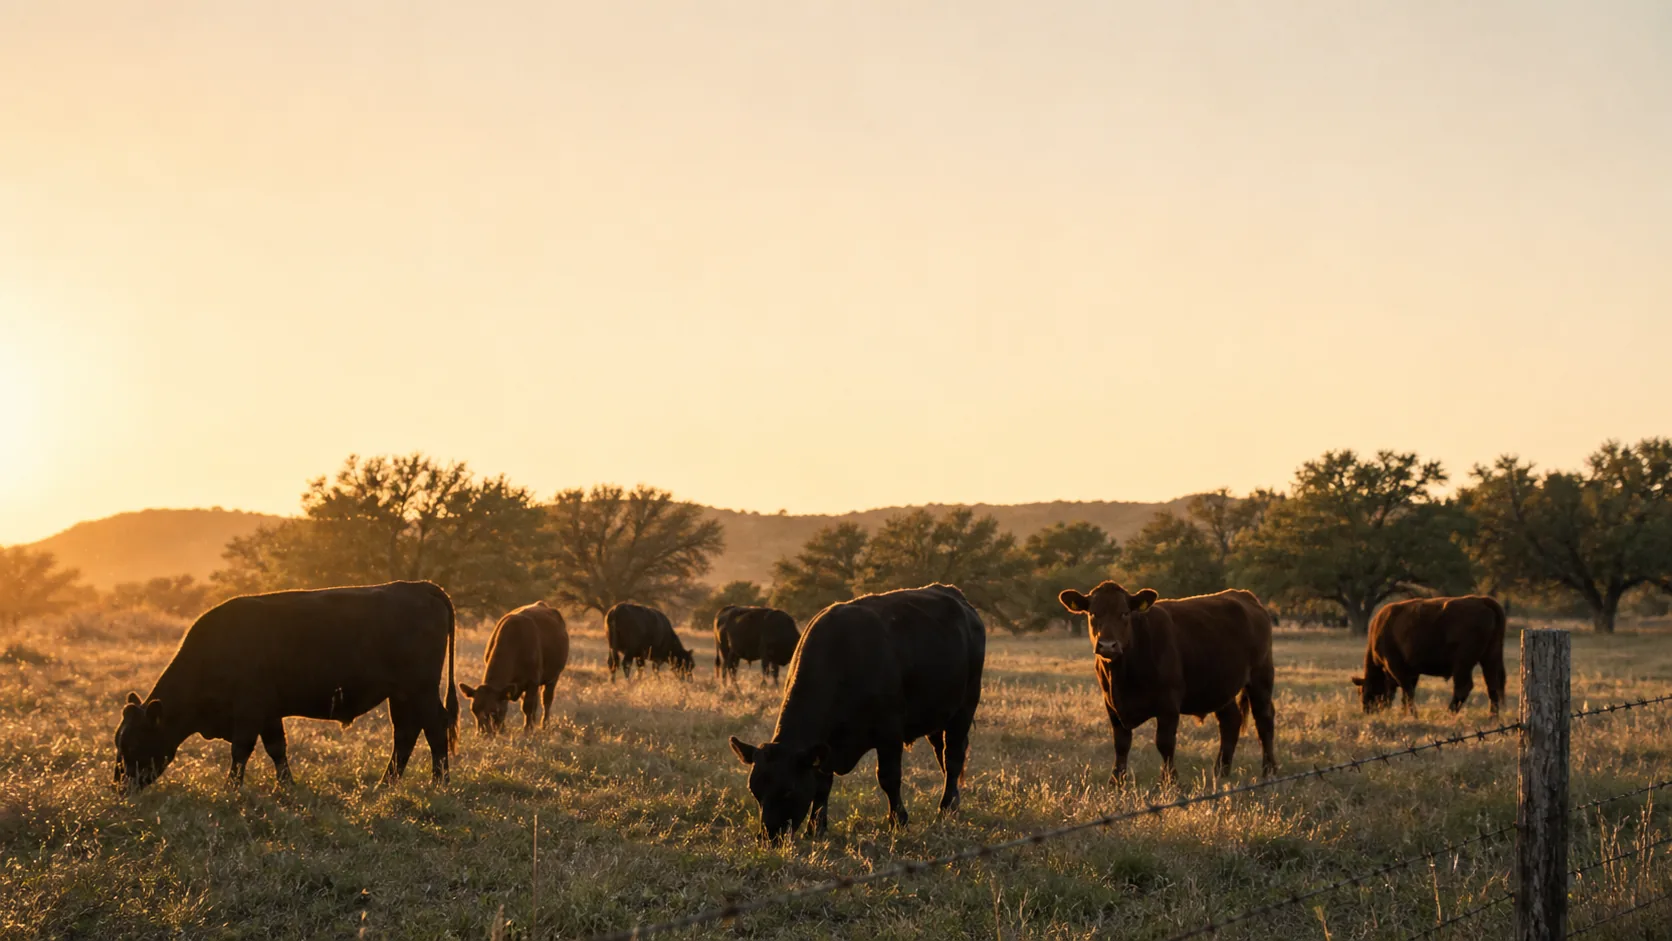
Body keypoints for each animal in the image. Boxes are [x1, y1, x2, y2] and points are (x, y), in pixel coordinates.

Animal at [113, 581, 458, 791]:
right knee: (406, 734)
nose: (119, 787)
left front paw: (230, 789)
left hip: (421, 690)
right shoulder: (269, 713)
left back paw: (439, 783)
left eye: (133, 744)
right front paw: (287, 786)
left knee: (434, 729)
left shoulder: (250, 710)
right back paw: (386, 784)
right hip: (401, 695)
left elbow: (241, 750)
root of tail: (418, 586)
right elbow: (277, 748)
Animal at [460, 601, 570, 735]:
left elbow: (527, 706)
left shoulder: (532, 681)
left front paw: (527, 730)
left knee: (546, 701)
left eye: (493, 711)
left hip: (553, 677)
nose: (482, 733)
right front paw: (503, 729)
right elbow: (507, 705)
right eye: (473, 710)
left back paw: (544, 725)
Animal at [728, 583, 985, 841]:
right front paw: (816, 827)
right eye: (754, 790)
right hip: (938, 716)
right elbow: (822, 784)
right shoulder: (826, 745)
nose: (768, 835)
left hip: (965, 706)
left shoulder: (890, 732)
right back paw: (953, 803)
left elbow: (889, 777)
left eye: (788, 790)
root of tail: (955, 596)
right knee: (943, 755)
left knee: (953, 756)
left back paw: (947, 807)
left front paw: (898, 821)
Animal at [1059, 581, 1277, 785]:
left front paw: (1170, 781)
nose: (1107, 645)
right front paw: (1116, 782)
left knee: (1264, 720)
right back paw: (1220, 773)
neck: (1122, 676)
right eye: (1093, 613)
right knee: (1231, 721)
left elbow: (1164, 742)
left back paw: (1269, 771)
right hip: (1219, 687)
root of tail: (1245, 595)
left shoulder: (1169, 703)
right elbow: (1121, 744)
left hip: (1261, 677)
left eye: (1124, 613)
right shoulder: (1111, 705)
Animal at [1351, 595, 1507, 717]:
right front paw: (1405, 713)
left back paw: (1448, 714)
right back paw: (1493, 717)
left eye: (1364, 691)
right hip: (1489, 658)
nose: (1367, 711)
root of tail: (1482, 600)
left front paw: (1413, 715)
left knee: (1463, 687)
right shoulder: (1412, 671)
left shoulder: (1395, 667)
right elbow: (1406, 693)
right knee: (1492, 685)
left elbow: (1407, 691)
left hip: (1463, 664)